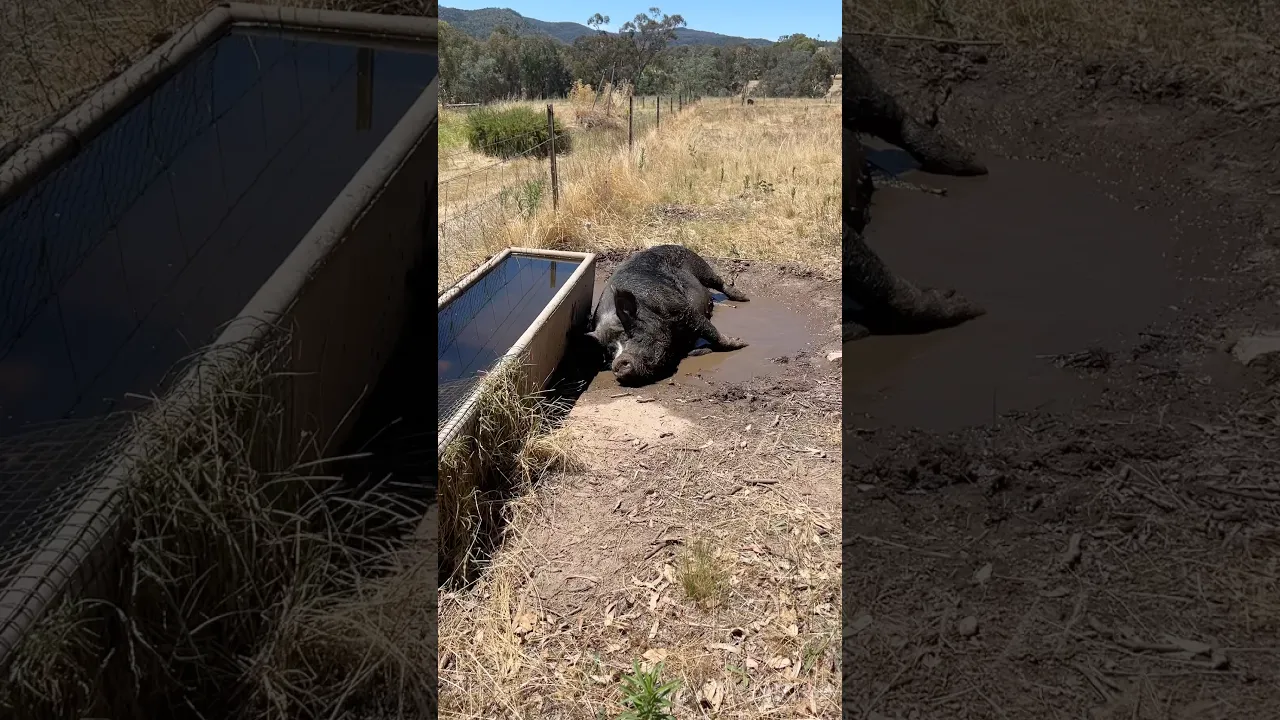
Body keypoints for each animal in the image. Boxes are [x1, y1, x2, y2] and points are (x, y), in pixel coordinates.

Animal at [586, 245, 750, 386]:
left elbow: (710, 330)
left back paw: (744, 298)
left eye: (630, 331)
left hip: (701, 265)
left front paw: (742, 343)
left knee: (718, 282)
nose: (618, 363)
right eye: (610, 350)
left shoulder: (683, 310)